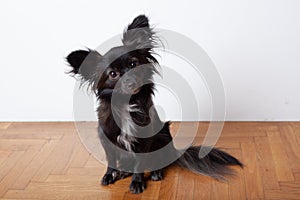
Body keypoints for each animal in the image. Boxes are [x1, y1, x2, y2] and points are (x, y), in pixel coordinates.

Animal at [65, 15, 241, 194]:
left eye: (133, 64)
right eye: (112, 74)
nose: (131, 82)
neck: (128, 103)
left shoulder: (145, 139)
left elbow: (139, 164)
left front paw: (137, 182)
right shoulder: (107, 138)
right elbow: (111, 160)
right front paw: (109, 175)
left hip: (162, 135)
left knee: (159, 160)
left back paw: (155, 172)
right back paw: (123, 172)